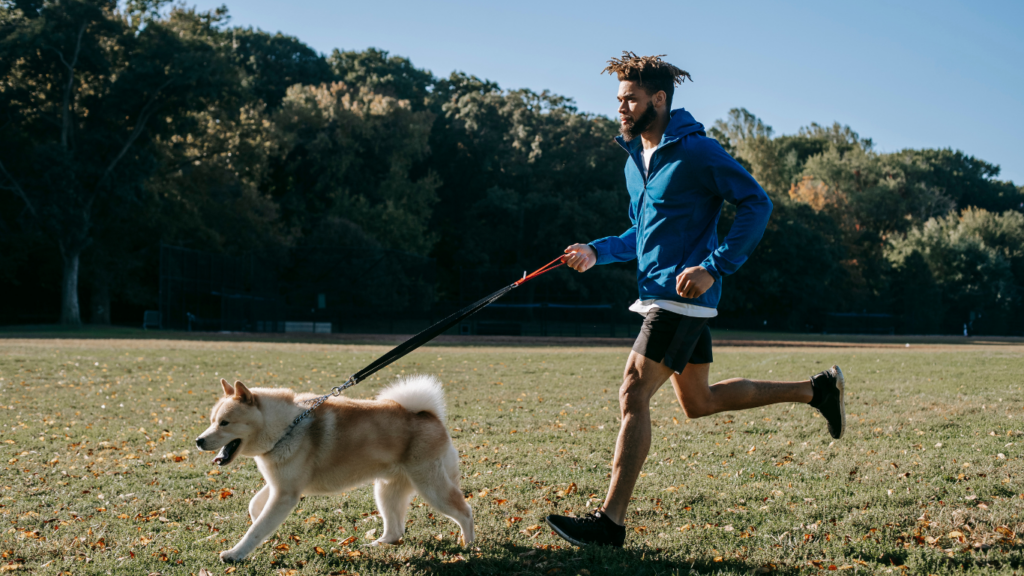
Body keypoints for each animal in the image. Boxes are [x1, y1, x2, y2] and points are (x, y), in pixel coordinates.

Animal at [193, 375, 473, 557]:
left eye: (225, 423)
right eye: (212, 420)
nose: (199, 441)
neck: (286, 426)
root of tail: (430, 416)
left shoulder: (286, 494)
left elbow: (256, 529)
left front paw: (235, 554)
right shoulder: (280, 486)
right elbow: (255, 509)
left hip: (431, 488)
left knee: (465, 512)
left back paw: (469, 546)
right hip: (387, 491)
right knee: (395, 531)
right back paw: (375, 546)